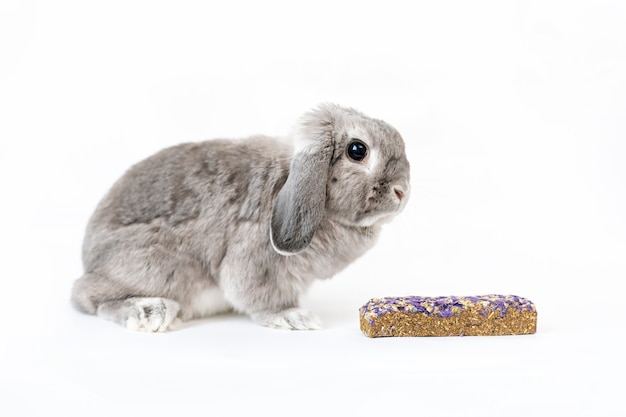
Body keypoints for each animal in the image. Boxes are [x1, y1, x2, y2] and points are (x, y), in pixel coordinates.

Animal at [70, 104, 410, 332]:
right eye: (357, 150)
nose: (402, 192)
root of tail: (89, 258)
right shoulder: (255, 262)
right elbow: (263, 299)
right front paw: (294, 317)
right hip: (156, 266)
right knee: (84, 295)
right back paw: (149, 312)